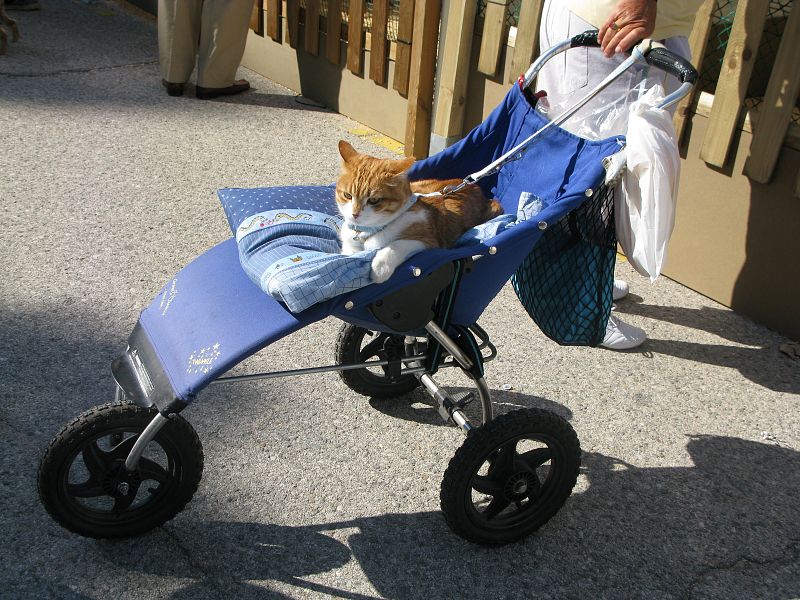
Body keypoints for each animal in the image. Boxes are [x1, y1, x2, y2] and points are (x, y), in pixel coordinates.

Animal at [336, 141, 500, 284]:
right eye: (348, 195)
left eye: (374, 200)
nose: (355, 214)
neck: (367, 232)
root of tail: (473, 186)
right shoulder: (349, 246)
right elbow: (348, 255)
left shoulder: (430, 242)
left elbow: (396, 245)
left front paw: (380, 268)